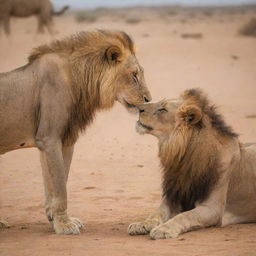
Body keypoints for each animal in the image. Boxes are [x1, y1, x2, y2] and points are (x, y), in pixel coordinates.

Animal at [0, 29, 151, 234]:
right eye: (134, 75)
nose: (149, 99)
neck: (80, 80)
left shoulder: (63, 140)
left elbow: (55, 183)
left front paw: (54, 219)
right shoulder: (49, 139)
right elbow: (60, 186)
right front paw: (64, 225)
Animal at [129, 88, 256, 240]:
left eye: (163, 109)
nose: (138, 108)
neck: (185, 159)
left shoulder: (213, 208)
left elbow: (185, 216)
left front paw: (164, 229)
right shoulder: (173, 197)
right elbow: (157, 213)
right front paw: (141, 224)